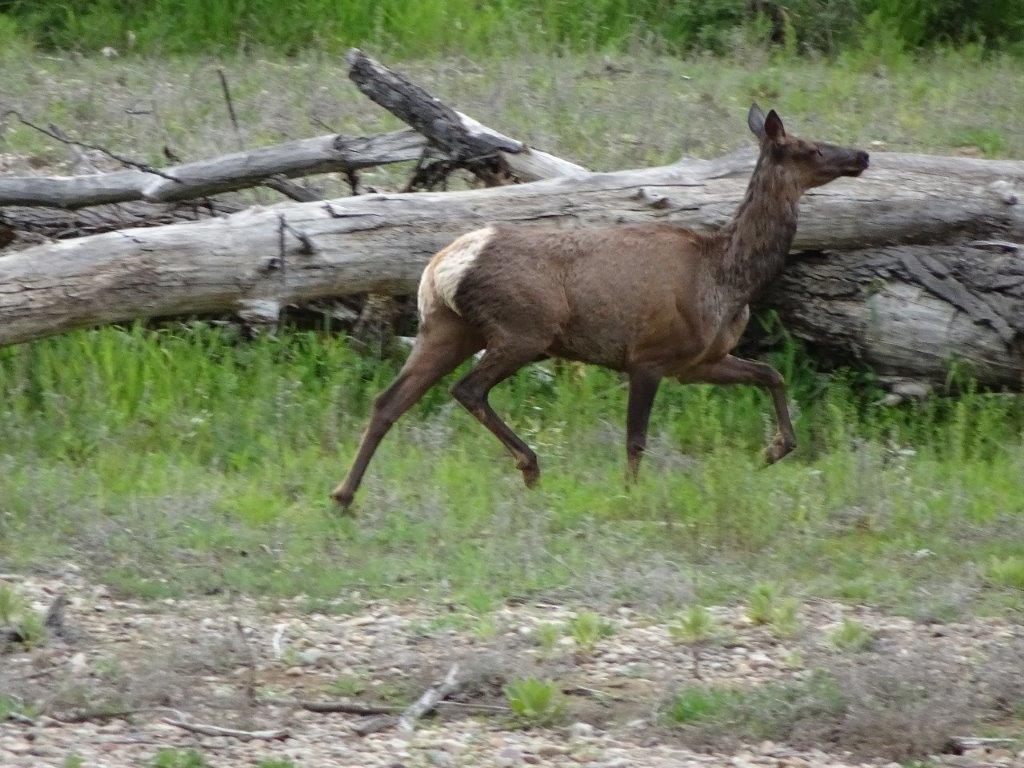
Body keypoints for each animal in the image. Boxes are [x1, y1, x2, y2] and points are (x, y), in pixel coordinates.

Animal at [331, 105, 868, 507]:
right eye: (811, 147)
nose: (861, 154)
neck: (727, 279)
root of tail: (441, 267)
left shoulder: (699, 362)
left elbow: (772, 375)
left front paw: (776, 449)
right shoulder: (649, 355)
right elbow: (636, 438)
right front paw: (630, 495)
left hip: (446, 328)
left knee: (389, 400)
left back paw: (343, 494)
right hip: (524, 329)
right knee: (467, 390)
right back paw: (530, 466)